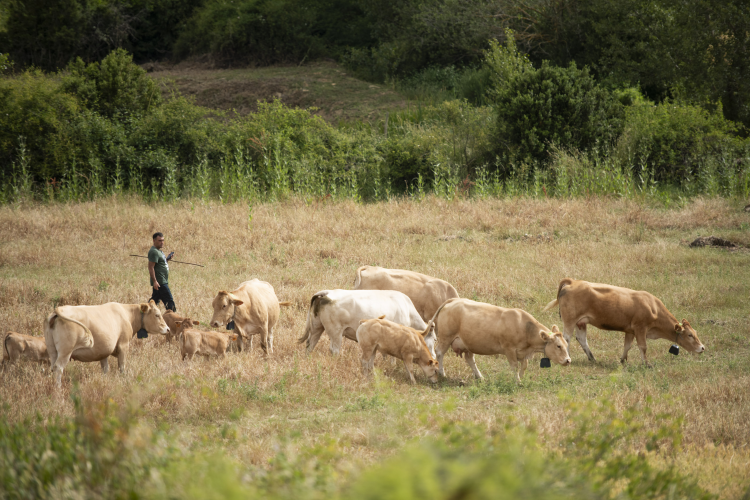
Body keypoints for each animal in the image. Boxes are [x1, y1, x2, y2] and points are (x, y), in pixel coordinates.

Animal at [298, 290, 438, 356]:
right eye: (435, 339)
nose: (434, 356)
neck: (407, 311)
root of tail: (326, 293)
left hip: (317, 327)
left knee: (310, 344)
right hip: (335, 333)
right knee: (334, 350)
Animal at [432, 296, 572, 382]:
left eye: (566, 345)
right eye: (558, 346)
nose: (568, 360)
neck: (524, 327)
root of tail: (454, 301)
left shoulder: (522, 352)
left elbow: (524, 365)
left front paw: (521, 378)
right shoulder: (509, 349)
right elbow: (515, 366)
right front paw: (517, 381)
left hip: (467, 343)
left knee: (470, 359)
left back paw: (480, 376)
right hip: (446, 337)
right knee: (439, 353)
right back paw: (442, 373)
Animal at [544, 278, 708, 364]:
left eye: (695, 332)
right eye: (690, 335)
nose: (702, 348)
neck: (653, 307)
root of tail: (572, 281)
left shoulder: (630, 330)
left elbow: (627, 346)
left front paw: (623, 360)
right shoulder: (640, 328)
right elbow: (643, 346)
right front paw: (646, 364)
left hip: (581, 322)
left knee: (582, 339)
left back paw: (592, 358)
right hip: (570, 321)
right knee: (566, 338)